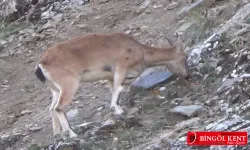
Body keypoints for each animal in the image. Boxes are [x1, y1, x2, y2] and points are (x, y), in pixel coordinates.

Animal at [34, 32, 188, 138]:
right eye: (184, 57)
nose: (187, 75)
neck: (140, 51)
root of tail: (42, 64)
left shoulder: (109, 76)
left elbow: (114, 91)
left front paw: (119, 110)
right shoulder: (121, 68)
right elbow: (118, 89)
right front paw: (119, 111)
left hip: (55, 89)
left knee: (51, 109)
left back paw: (58, 135)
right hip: (69, 84)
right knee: (59, 108)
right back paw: (72, 134)